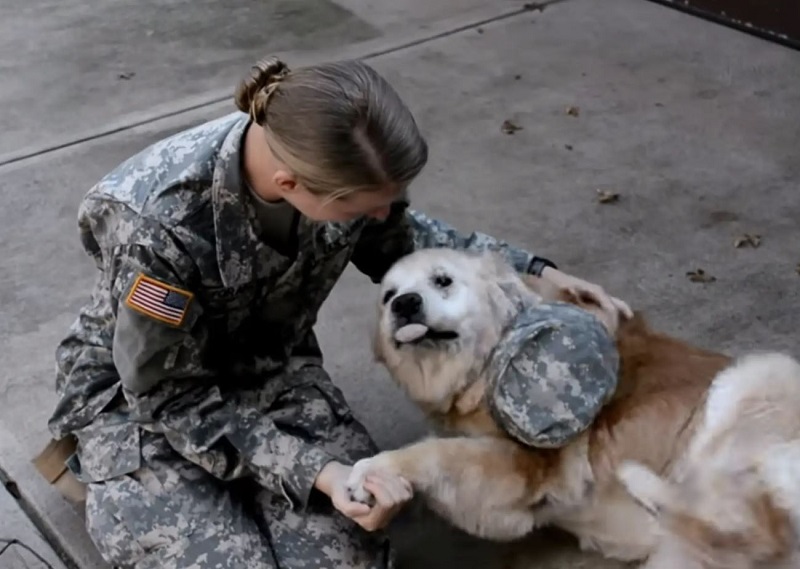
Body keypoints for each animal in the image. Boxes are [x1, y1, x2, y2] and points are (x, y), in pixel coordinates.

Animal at [346, 248, 800, 568]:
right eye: (388, 296)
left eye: (443, 280)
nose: (404, 304)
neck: (490, 355)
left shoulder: (527, 469)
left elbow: (436, 451)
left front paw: (372, 471)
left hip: (755, 374)